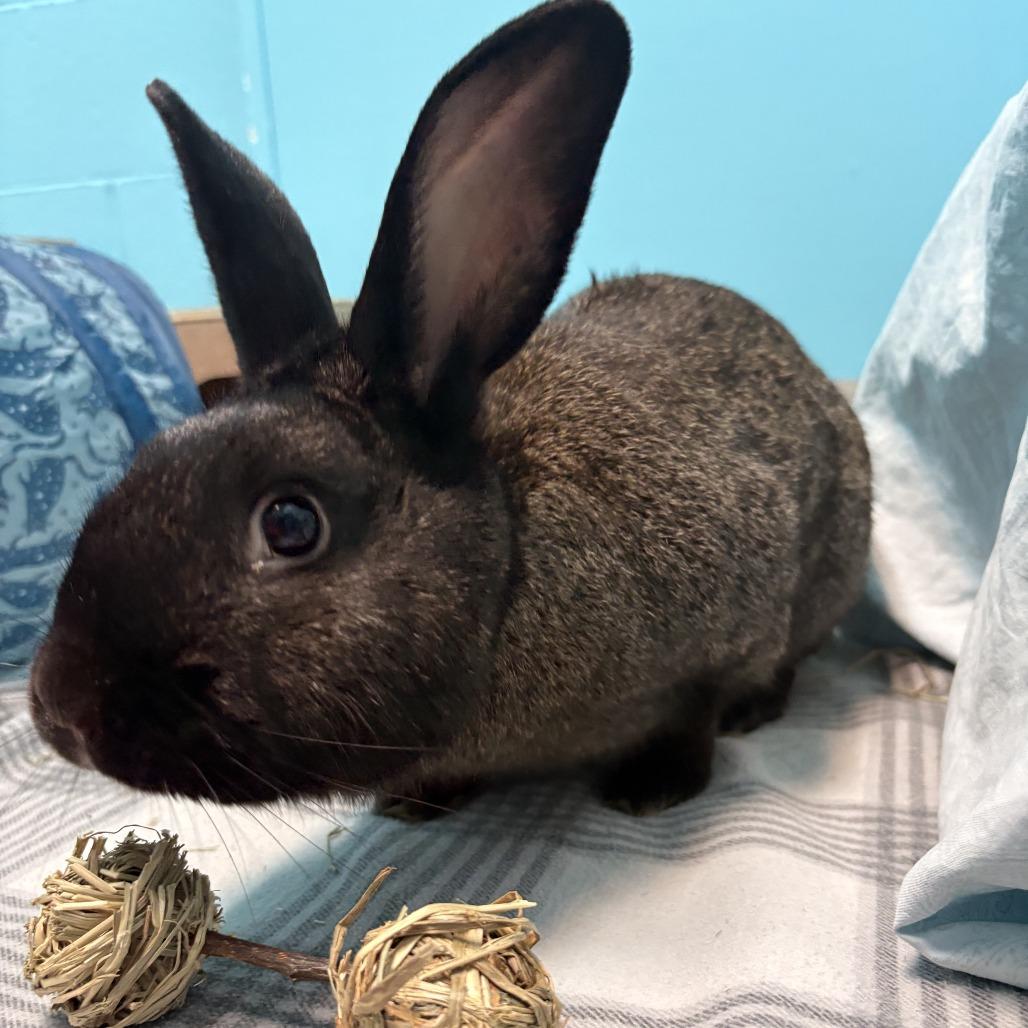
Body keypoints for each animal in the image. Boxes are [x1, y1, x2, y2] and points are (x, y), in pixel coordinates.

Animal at [29, 0, 871, 818]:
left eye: (290, 524)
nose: (61, 714)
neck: (508, 568)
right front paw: (414, 805)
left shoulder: (728, 635)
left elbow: (697, 712)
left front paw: (652, 789)